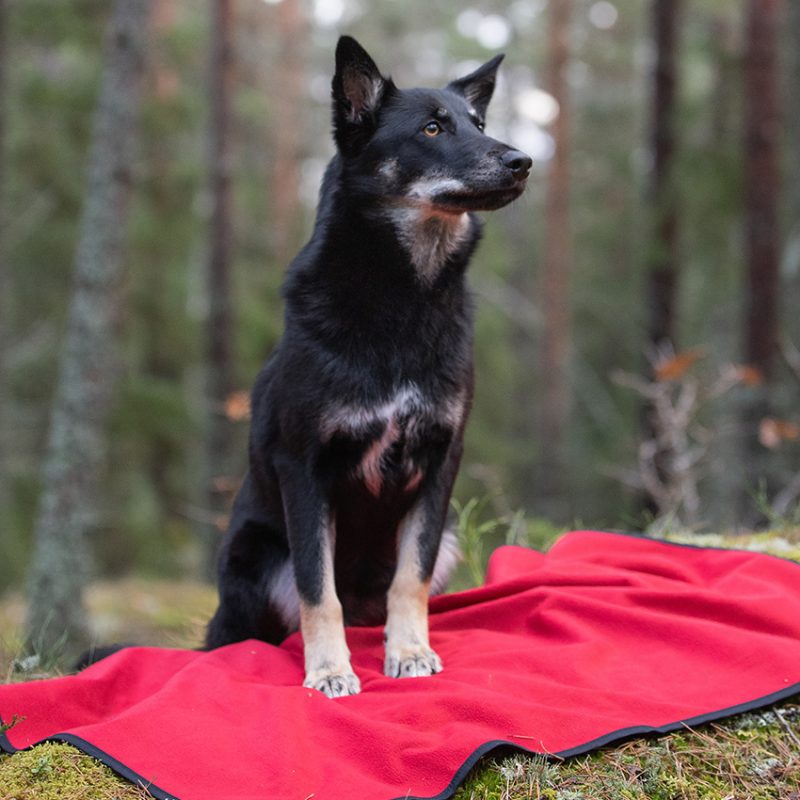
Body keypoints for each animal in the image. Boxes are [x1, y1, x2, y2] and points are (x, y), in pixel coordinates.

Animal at [205, 34, 532, 696]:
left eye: (478, 124)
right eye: (432, 128)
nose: (523, 161)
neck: (404, 296)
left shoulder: (439, 463)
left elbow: (411, 577)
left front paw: (408, 651)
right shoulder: (303, 467)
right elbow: (317, 589)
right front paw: (330, 668)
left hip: (449, 535)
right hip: (252, 554)